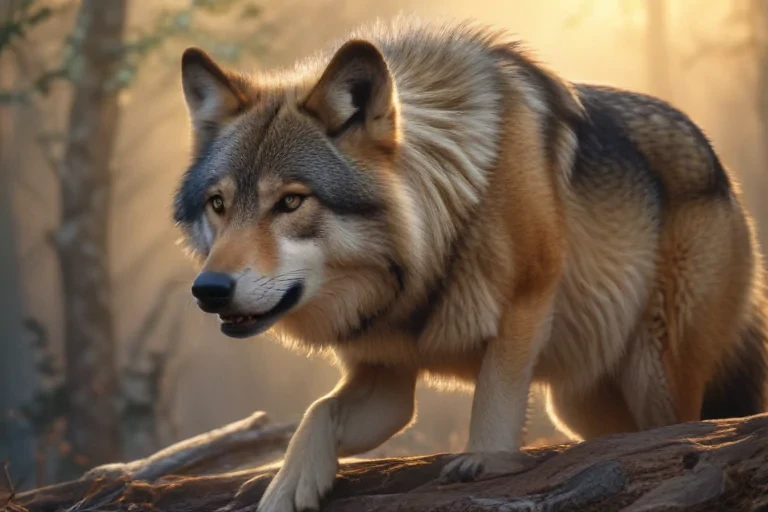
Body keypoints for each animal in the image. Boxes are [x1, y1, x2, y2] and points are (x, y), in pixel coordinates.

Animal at [172, 15, 768, 512]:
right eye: (219, 204)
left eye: (291, 202)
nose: (209, 289)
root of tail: (722, 170)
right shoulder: (385, 374)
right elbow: (319, 412)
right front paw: (285, 485)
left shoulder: (529, 295)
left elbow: (496, 393)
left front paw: (486, 461)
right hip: (580, 404)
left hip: (654, 375)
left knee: (676, 430)